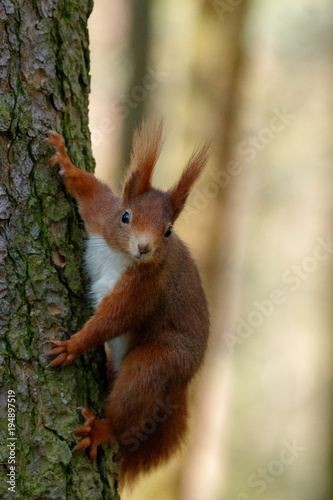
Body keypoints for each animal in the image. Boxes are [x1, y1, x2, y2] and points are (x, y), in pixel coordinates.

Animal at [46, 119, 209, 486]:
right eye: (125, 216)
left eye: (168, 231)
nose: (144, 248)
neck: (120, 255)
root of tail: (181, 386)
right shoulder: (100, 216)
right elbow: (89, 191)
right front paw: (65, 160)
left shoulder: (145, 290)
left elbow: (112, 319)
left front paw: (73, 345)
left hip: (159, 363)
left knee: (131, 405)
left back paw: (102, 430)